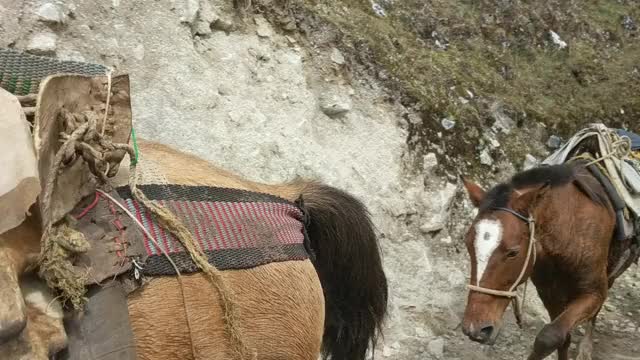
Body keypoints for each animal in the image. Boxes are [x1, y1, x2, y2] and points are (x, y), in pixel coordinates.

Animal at [460, 162, 636, 360]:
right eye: (467, 244)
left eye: (513, 252)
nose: (476, 329)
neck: (570, 229)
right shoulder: (548, 293)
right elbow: (563, 338)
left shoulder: (593, 293)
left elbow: (550, 336)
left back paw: (585, 347)